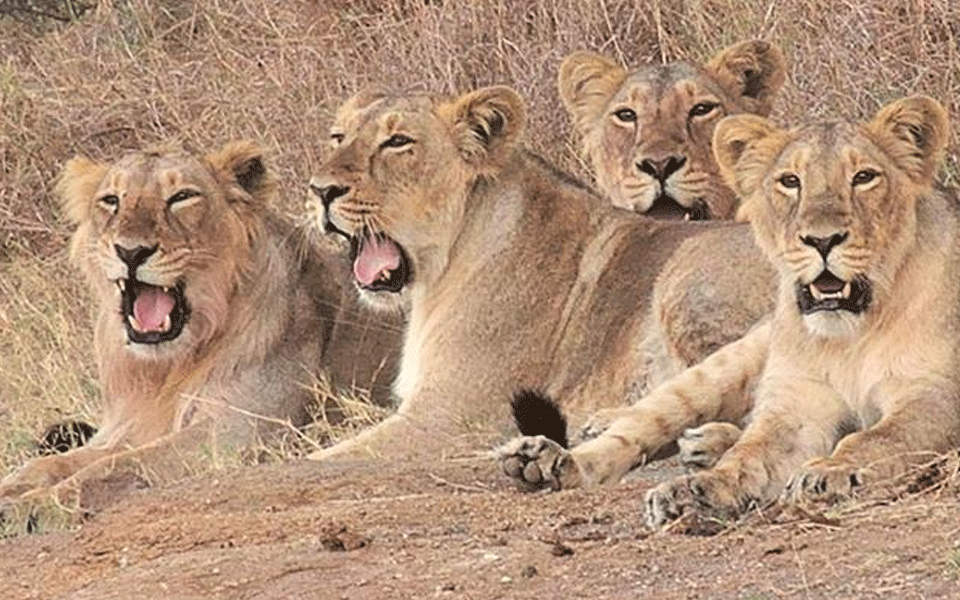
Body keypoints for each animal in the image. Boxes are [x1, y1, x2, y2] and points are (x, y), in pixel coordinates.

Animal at [0, 141, 399, 505]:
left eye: (182, 197)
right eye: (111, 200)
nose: (130, 251)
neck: (164, 369)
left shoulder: (237, 431)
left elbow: (115, 465)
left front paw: (32, 506)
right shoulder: (123, 429)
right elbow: (50, 463)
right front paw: (15, 489)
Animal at [304, 85, 776, 463]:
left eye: (397, 142)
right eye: (338, 137)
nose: (321, 190)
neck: (441, 268)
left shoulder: (452, 417)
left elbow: (319, 459)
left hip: (685, 274)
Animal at [498, 96, 960, 528]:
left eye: (864, 177)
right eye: (790, 181)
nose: (821, 240)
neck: (851, 331)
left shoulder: (932, 395)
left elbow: (875, 439)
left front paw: (829, 473)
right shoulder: (795, 405)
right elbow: (749, 456)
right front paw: (695, 492)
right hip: (718, 367)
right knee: (635, 428)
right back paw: (548, 460)